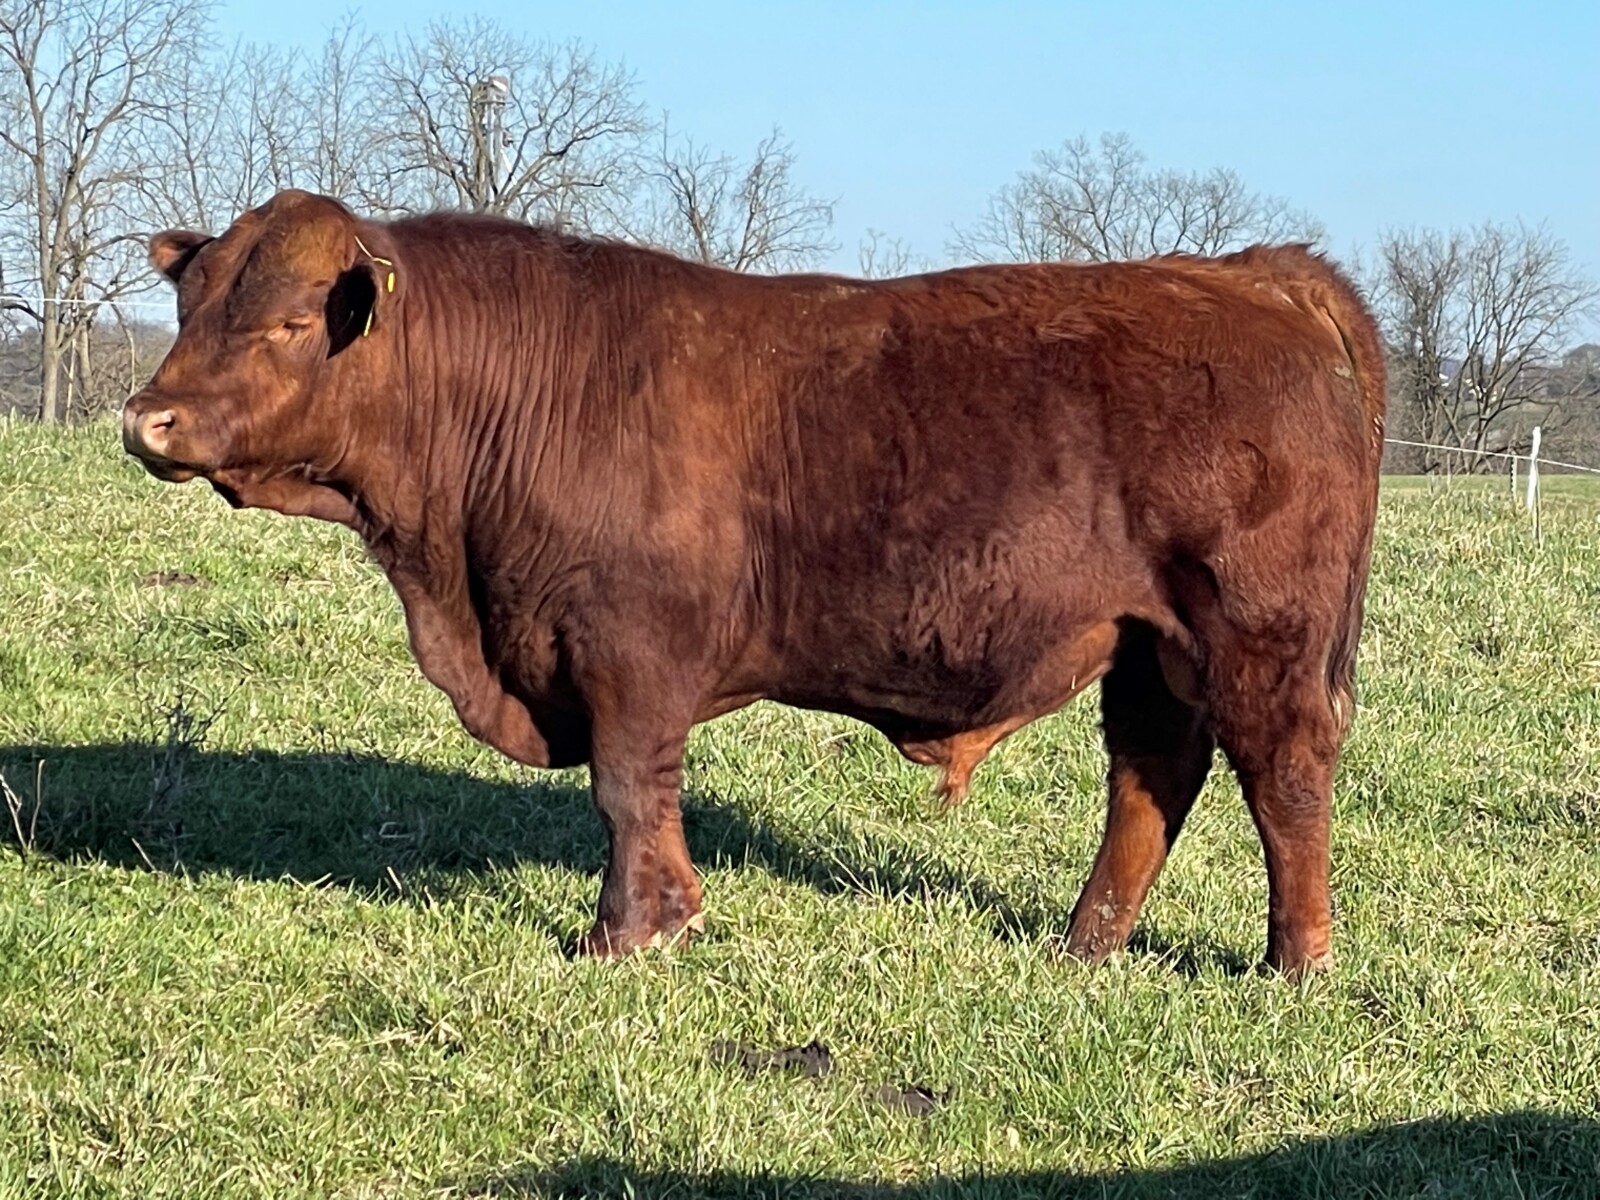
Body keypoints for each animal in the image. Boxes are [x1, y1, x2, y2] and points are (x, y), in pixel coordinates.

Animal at [122, 189, 1385, 974]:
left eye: (292, 321)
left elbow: (629, 788)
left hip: (1253, 633)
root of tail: (1253, 275)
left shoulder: (628, 651)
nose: (148, 419)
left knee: (1285, 778)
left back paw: (1294, 963)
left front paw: (630, 934)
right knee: (1149, 778)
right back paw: (1086, 944)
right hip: (1147, 644)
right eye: (190, 304)